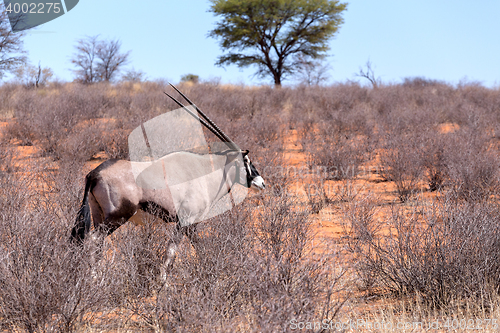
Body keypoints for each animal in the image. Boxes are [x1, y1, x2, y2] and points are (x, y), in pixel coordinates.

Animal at [72, 84, 266, 274]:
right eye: (246, 161)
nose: (261, 182)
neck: (205, 171)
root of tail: (94, 173)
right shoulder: (187, 221)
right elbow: (175, 251)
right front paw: (163, 280)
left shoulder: (189, 224)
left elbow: (193, 247)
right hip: (117, 217)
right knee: (93, 240)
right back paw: (94, 277)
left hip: (99, 215)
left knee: (95, 243)